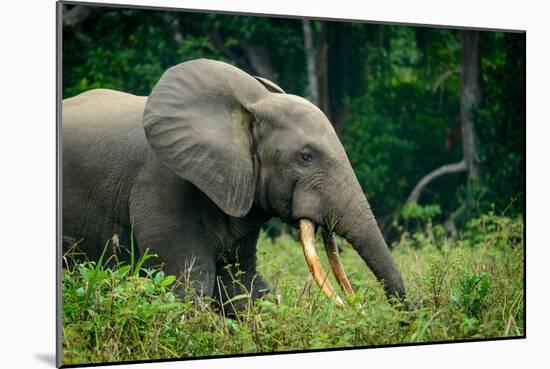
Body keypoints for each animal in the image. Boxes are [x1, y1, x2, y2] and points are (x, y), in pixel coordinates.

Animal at [63, 57, 410, 310]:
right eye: (306, 157)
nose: (405, 316)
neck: (248, 108)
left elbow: (240, 282)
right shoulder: (162, 185)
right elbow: (191, 285)